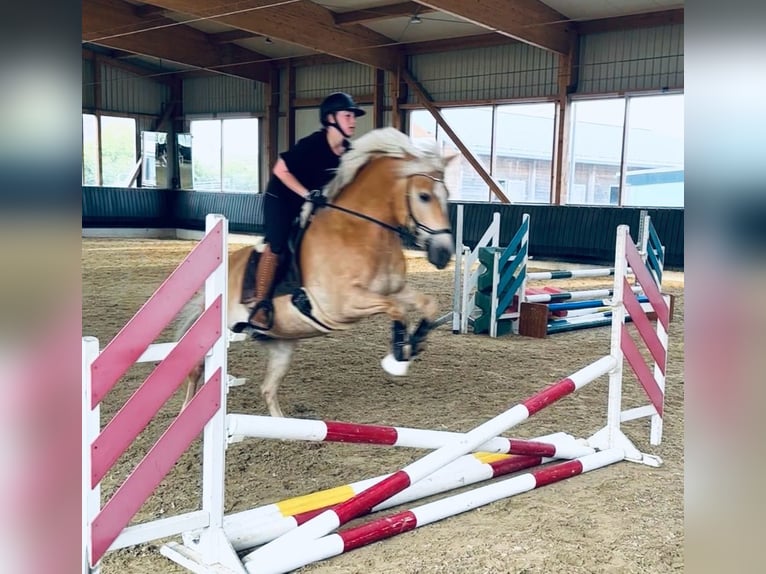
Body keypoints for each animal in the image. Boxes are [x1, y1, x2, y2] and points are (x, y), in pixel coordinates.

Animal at [179, 128, 456, 418]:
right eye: (424, 196)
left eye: (446, 194)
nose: (443, 253)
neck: (360, 231)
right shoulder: (344, 305)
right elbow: (397, 309)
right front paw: (399, 356)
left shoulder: (394, 289)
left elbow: (427, 304)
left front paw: (416, 341)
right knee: (196, 369)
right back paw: (186, 410)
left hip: (281, 344)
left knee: (268, 389)